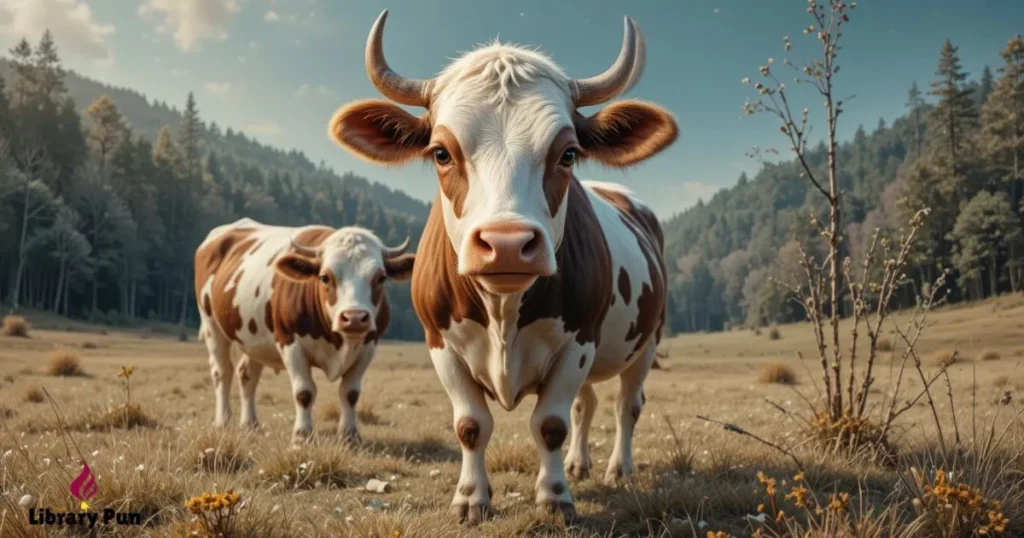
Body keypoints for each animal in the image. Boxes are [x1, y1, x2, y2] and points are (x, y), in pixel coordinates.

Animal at [193, 218, 414, 445]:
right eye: (325, 277)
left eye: (381, 278)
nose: (354, 317)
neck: (339, 341)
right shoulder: (291, 344)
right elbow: (304, 392)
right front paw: (301, 436)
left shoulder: (368, 346)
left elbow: (350, 393)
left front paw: (350, 436)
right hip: (212, 327)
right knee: (222, 372)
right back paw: (223, 421)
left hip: (252, 340)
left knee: (247, 375)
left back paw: (249, 424)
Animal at [327, 11, 677, 523]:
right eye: (441, 152)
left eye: (568, 153)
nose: (507, 244)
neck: (502, 310)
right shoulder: (441, 344)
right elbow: (471, 425)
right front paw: (472, 498)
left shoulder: (578, 340)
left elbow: (550, 424)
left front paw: (554, 498)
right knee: (587, 405)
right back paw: (579, 464)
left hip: (646, 342)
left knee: (625, 406)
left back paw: (619, 468)